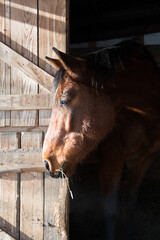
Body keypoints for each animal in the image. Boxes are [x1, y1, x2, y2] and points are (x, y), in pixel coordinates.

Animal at [42, 40, 160, 239]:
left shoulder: (144, 159)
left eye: (64, 101)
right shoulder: (112, 158)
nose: (48, 161)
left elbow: (129, 204)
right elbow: (111, 210)